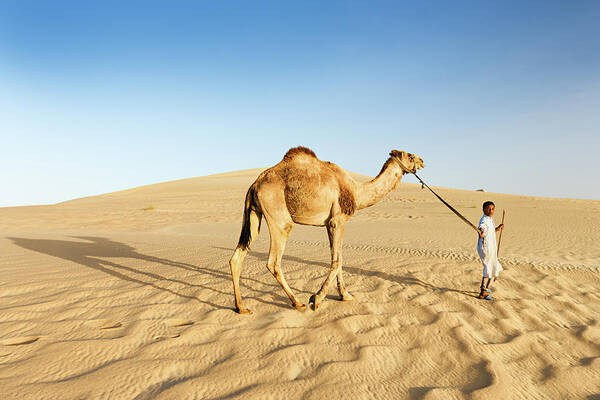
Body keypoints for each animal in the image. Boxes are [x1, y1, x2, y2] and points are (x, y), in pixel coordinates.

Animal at [227, 145, 424, 314]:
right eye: (410, 156)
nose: (422, 161)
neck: (355, 191)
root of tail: (255, 185)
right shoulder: (338, 220)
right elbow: (336, 260)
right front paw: (317, 299)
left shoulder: (330, 223)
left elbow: (339, 258)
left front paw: (345, 295)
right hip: (278, 215)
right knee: (273, 261)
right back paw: (297, 303)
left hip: (254, 215)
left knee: (237, 256)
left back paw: (241, 307)